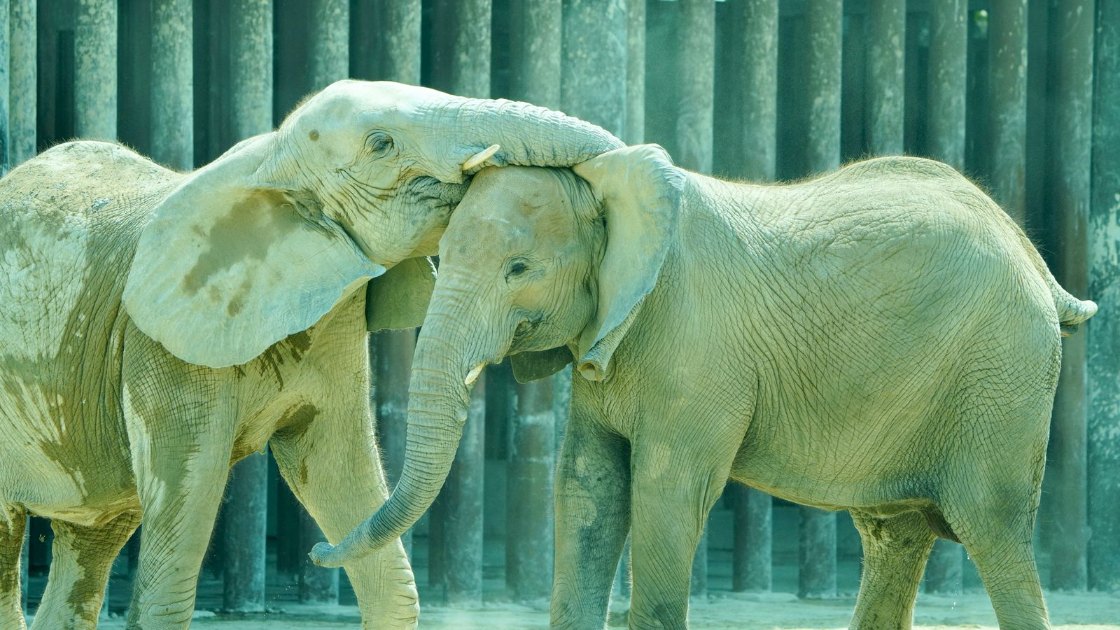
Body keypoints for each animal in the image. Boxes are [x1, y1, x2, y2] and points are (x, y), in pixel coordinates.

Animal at [0, 79, 620, 629]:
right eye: (380, 144)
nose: (317, 554)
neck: (271, 161)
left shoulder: (334, 316)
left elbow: (335, 470)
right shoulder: (161, 343)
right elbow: (181, 529)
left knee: (94, 539)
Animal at [310, 144, 1098, 630]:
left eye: (518, 270)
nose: (320, 553)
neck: (609, 187)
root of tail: (1035, 261)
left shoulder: (694, 348)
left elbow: (665, 493)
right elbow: (588, 489)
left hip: (1002, 377)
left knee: (995, 533)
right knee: (892, 534)